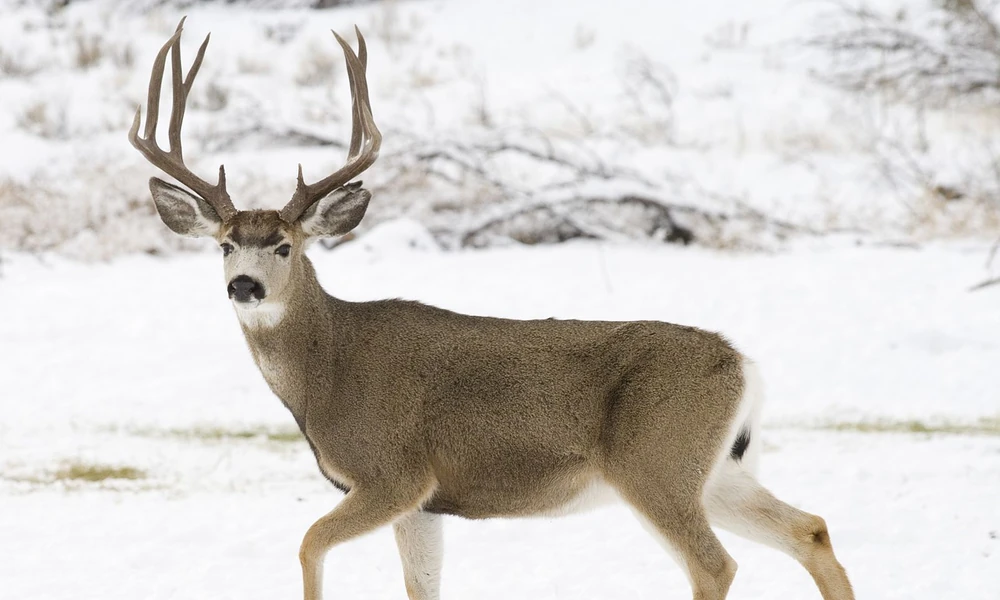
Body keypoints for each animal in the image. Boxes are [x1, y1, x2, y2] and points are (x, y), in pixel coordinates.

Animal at [128, 20, 855, 600]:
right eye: (226, 245)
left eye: (284, 244)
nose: (244, 287)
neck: (326, 372)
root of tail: (743, 364)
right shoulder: (426, 504)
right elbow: (421, 587)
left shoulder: (392, 473)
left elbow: (308, 544)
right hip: (718, 469)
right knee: (812, 530)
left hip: (657, 462)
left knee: (715, 565)